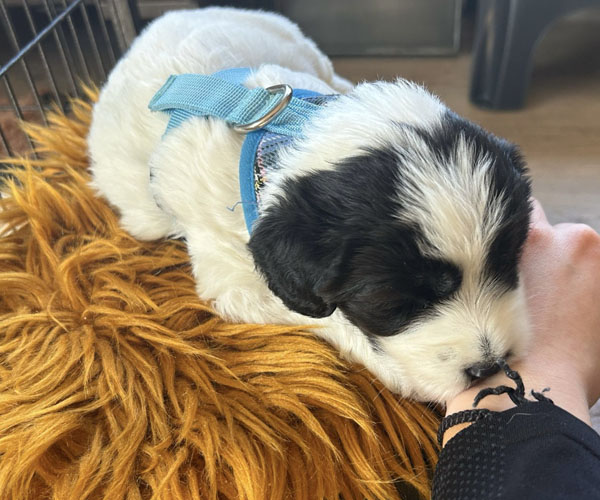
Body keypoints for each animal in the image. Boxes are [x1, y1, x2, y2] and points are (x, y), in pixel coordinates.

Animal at [88, 7, 532, 402]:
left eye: (508, 263)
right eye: (393, 303)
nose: (489, 366)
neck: (275, 137)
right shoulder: (235, 278)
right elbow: (321, 316)